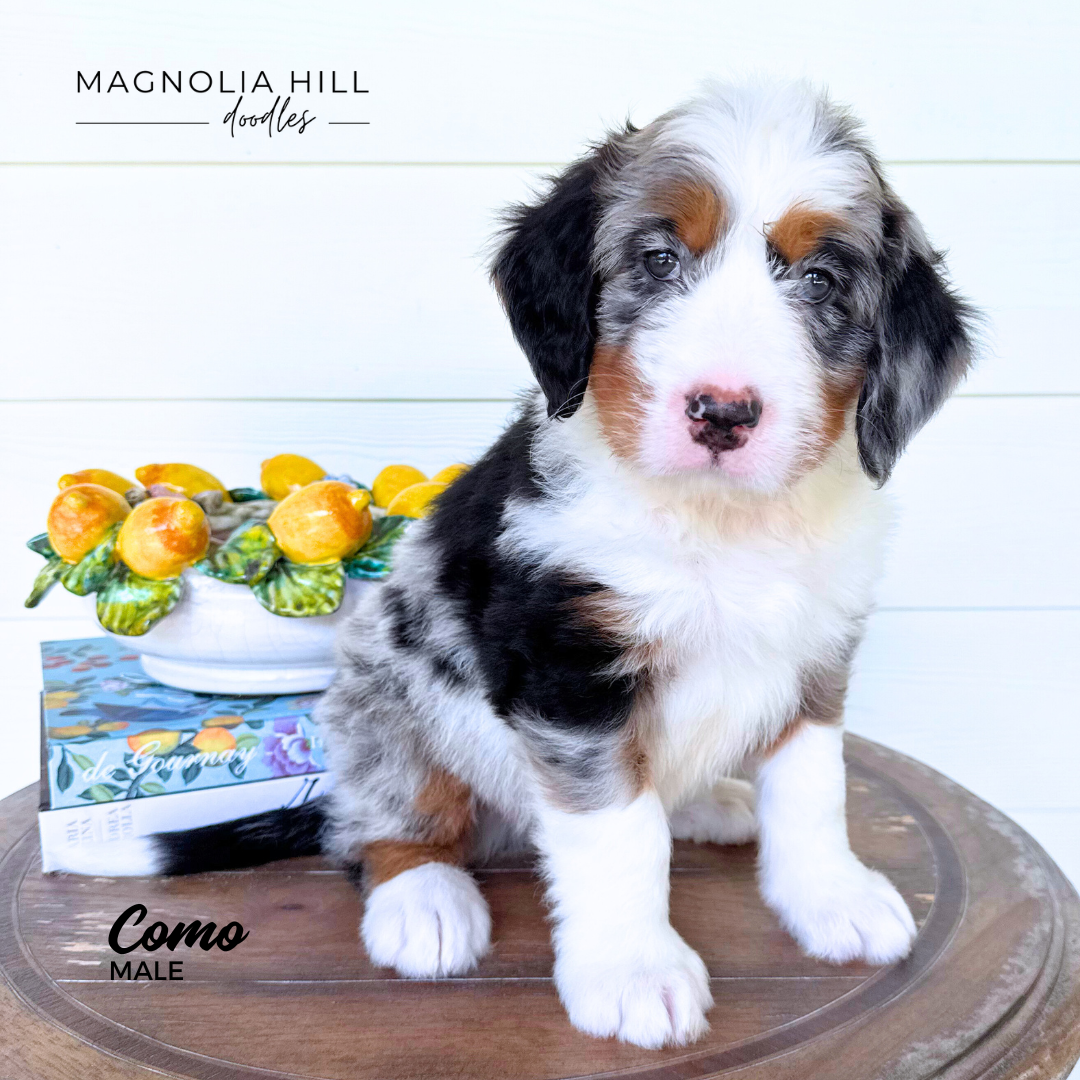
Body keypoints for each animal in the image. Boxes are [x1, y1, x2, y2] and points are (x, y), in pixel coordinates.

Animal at [81, 81, 975, 1050]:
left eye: (820, 281)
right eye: (658, 258)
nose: (723, 413)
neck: (720, 523)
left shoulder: (817, 654)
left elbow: (815, 791)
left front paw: (832, 898)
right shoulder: (569, 671)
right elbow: (622, 834)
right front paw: (635, 971)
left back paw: (711, 804)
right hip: (381, 697)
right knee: (374, 828)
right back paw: (425, 901)